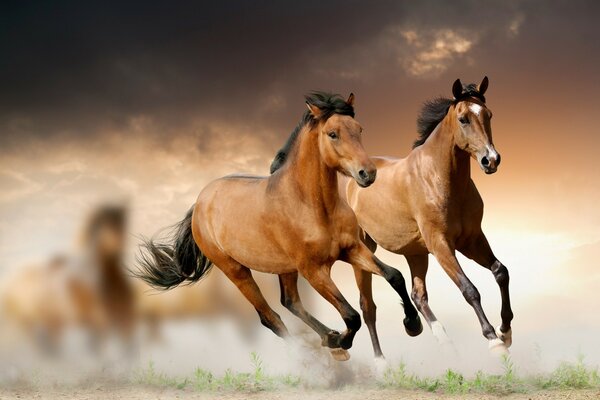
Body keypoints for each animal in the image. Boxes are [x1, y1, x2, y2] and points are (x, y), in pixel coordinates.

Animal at [136, 92, 422, 360]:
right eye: (332, 134)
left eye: (359, 129)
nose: (368, 174)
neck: (313, 206)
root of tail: (199, 202)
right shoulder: (314, 270)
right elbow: (351, 315)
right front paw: (342, 341)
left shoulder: (351, 249)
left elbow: (394, 275)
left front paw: (413, 324)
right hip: (236, 270)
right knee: (270, 317)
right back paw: (320, 352)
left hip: (284, 268)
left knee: (290, 302)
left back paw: (328, 338)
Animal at [342, 77, 510, 356]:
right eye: (463, 118)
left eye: (488, 115)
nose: (491, 160)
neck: (438, 178)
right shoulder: (441, 244)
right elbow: (469, 289)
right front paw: (493, 339)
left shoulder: (472, 239)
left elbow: (500, 271)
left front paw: (505, 331)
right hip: (364, 251)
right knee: (368, 307)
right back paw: (381, 360)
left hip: (416, 253)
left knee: (418, 296)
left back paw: (437, 337)